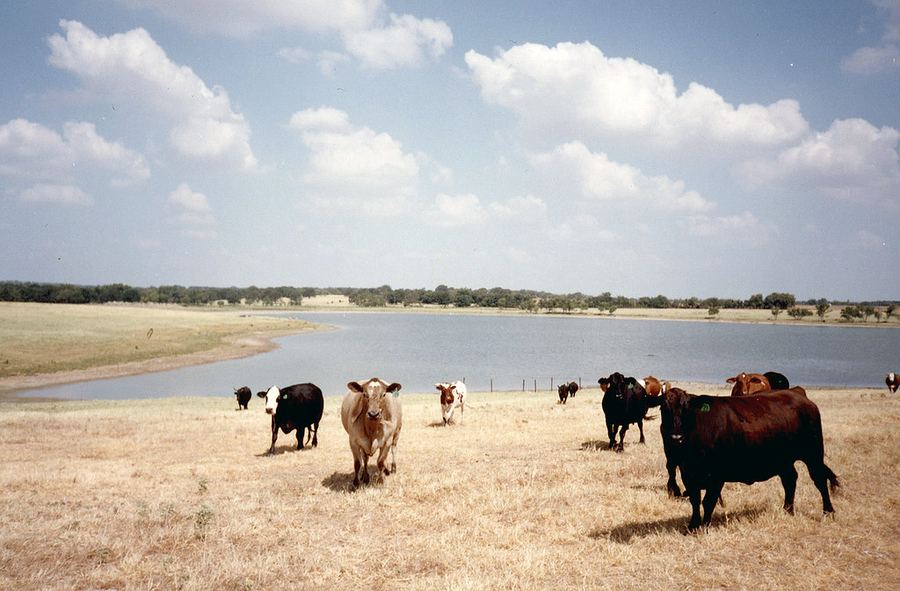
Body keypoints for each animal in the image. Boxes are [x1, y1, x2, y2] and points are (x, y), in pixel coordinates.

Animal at [647, 386, 839, 532]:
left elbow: (708, 501)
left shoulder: (716, 475)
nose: (676, 437)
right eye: (663, 409)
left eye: (686, 409)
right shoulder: (687, 472)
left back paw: (828, 512)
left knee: (819, 480)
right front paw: (693, 526)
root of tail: (798, 394)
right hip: (784, 460)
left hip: (813, 453)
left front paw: (705, 526)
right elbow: (695, 500)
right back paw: (787, 510)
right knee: (790, 480)